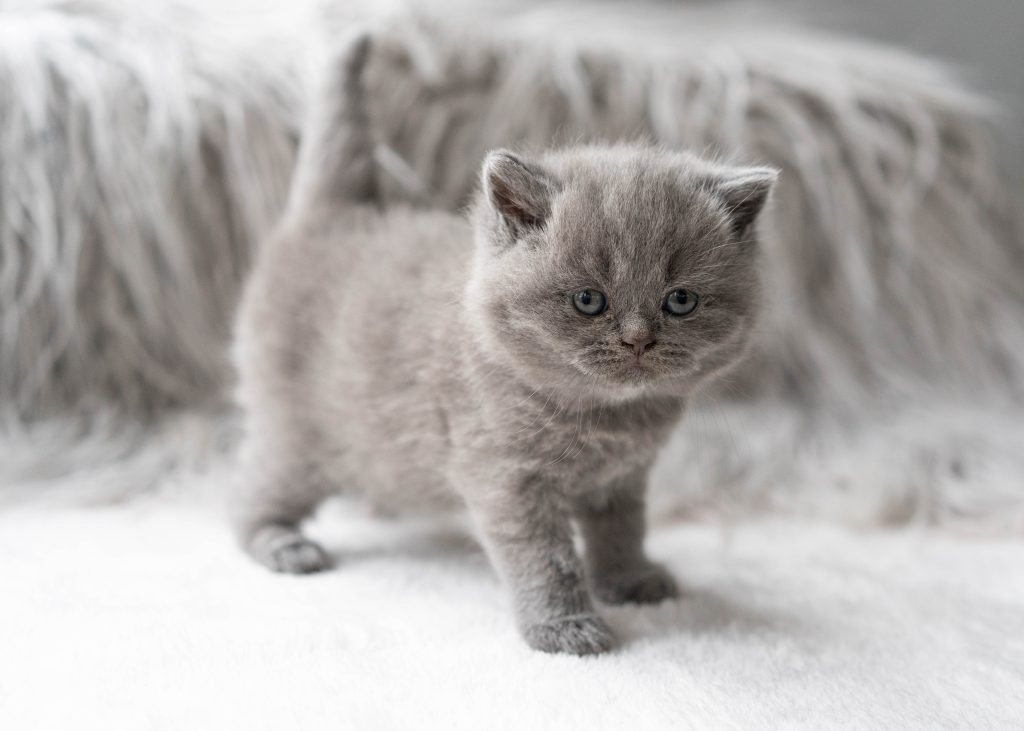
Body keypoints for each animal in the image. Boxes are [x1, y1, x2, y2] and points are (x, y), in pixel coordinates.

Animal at [232, 37, 774, 655]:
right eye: (588, 300)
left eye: (680, 301)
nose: (638, 339)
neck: (605, 418)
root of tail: (334, 217)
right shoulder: (507, 478)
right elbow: (546, 559)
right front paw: (565, 627)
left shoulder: (622, 479)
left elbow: (622, 530)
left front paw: (630, 580)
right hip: (299, 432)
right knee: (249, 492)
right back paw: (282, 543)